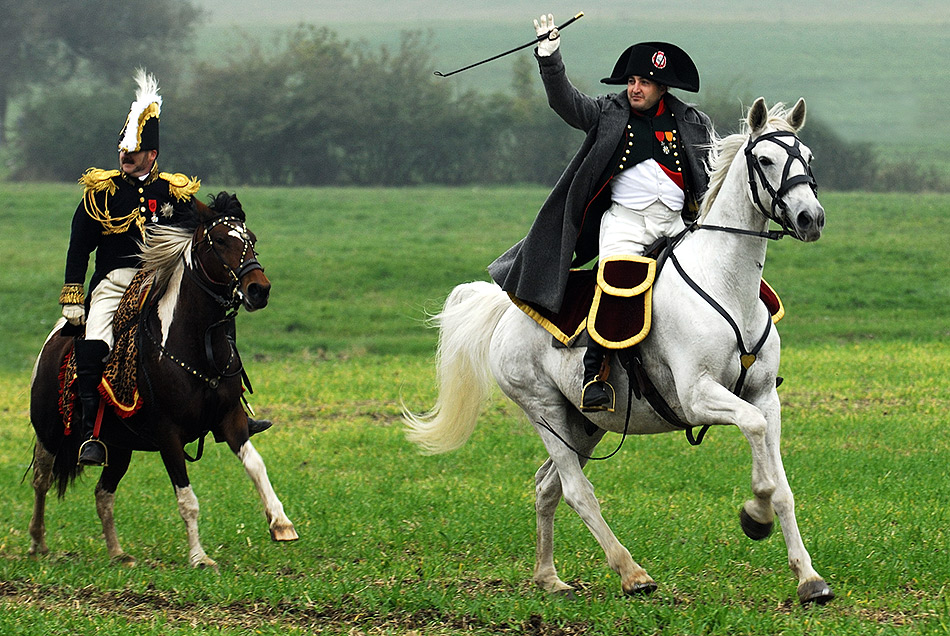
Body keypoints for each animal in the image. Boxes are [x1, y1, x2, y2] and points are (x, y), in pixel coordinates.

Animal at [28, 190, 298, 568]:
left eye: (252, 239)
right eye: (219, 241)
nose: (259, 289)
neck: (197, 345)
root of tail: (56, 339)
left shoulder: (230, 420)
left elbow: (256, 465)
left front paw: (281, 523)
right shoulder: (169, 436)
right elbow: (187, 499)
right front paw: (199, 557)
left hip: (119, 447)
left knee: (102, 493)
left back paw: (117, 553)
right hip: (51, 432)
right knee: (41, 479)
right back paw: (38, 542)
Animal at [406, 99, 836, 608]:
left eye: (807, 155)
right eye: (765, 159)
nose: (811, 218)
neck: (727, 285)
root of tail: (507, 309)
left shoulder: (766, 395)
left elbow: (783, 484)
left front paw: (809, 578)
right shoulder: (698, 395)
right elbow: (757, 448)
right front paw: (755, 515)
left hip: (585, 423)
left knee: (547, 487)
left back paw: (549, 577)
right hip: (545, 411)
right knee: (576, 490)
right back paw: (632, 573)